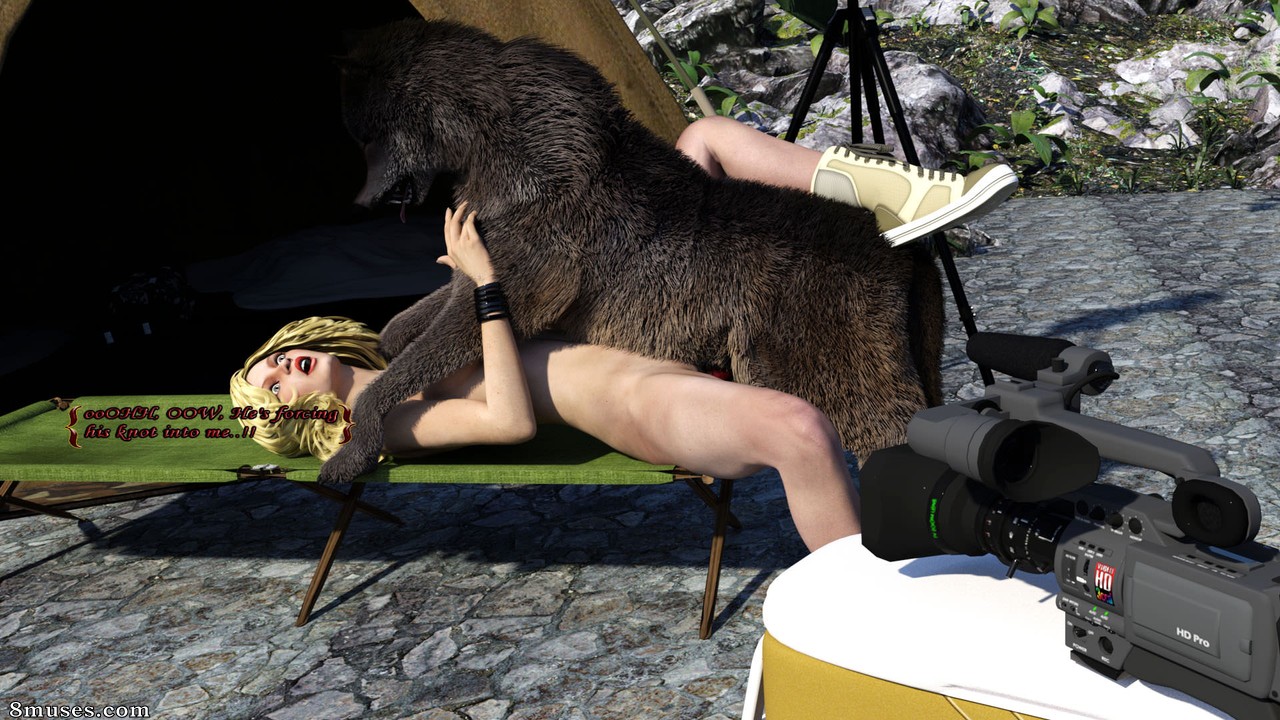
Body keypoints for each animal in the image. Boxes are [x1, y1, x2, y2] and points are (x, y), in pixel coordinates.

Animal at [318, 18, 944, 484]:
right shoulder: (486, 252)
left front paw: (353, 446)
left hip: (825, 363)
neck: (486, 138)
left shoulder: (532, 270)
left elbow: (430, 347)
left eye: (364, 136)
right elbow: (403, 326)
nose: (357, 202)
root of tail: (905, 251)